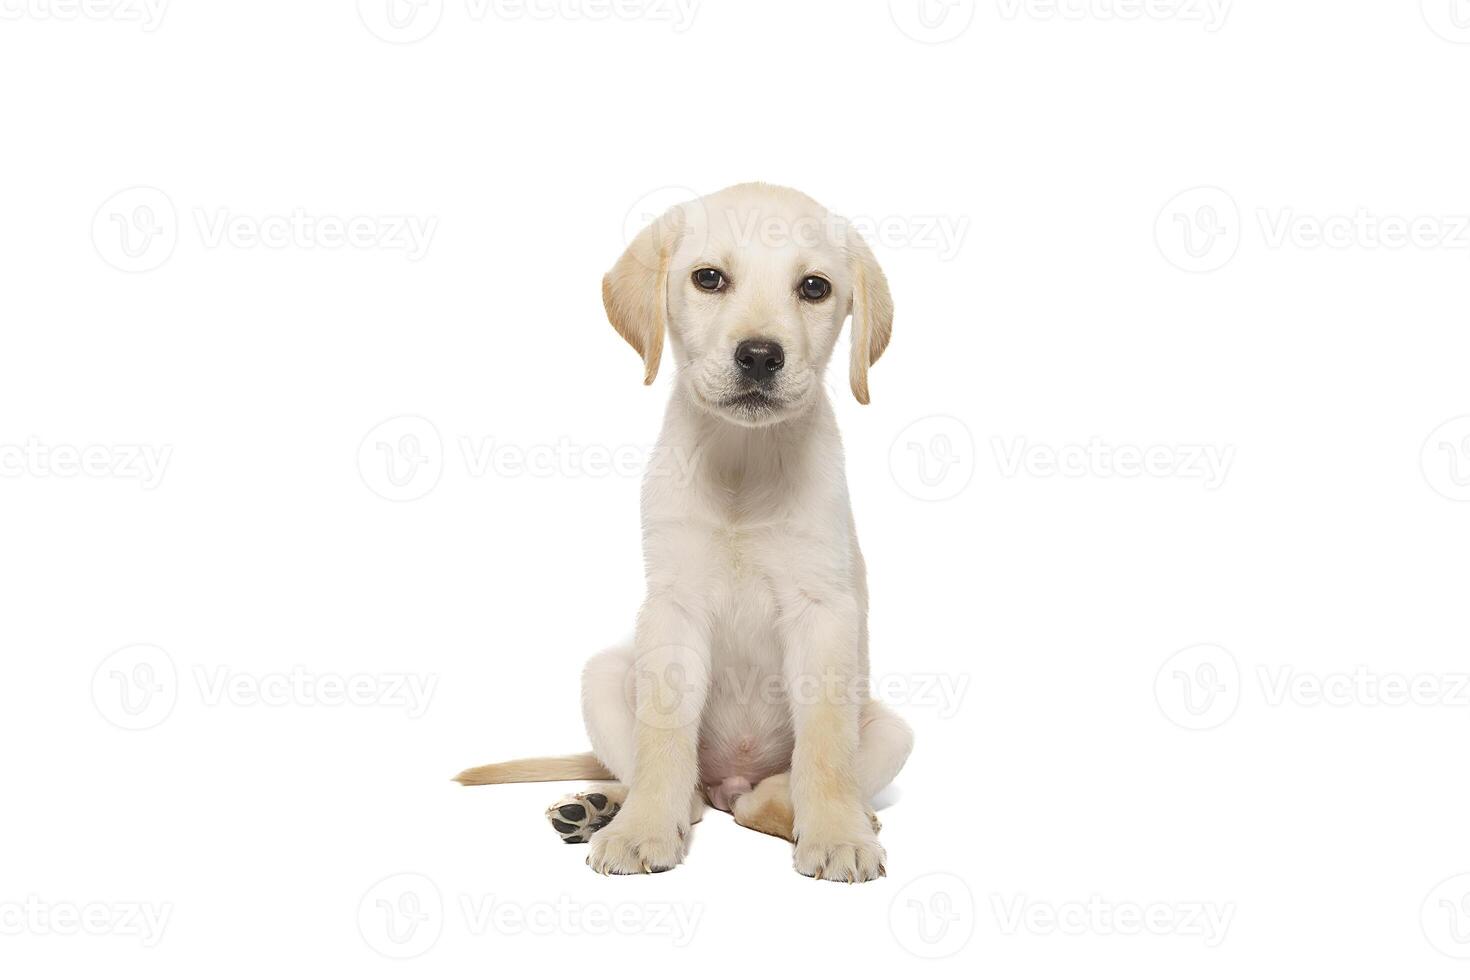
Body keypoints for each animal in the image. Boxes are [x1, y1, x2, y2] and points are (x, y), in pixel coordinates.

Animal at [452, 182, 911, 881]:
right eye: (709, 278)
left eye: (814, 287)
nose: (759, 355)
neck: (743, 464)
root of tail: (731, 777)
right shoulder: (673, 609)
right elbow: (664, 736)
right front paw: (642, 830)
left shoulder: (824, 612)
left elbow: (826, 746)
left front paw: (837, 833)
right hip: (604, 676)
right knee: (686, 794)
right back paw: (600, 808)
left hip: (889, 731)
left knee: (763, 799)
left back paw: (833, 815)